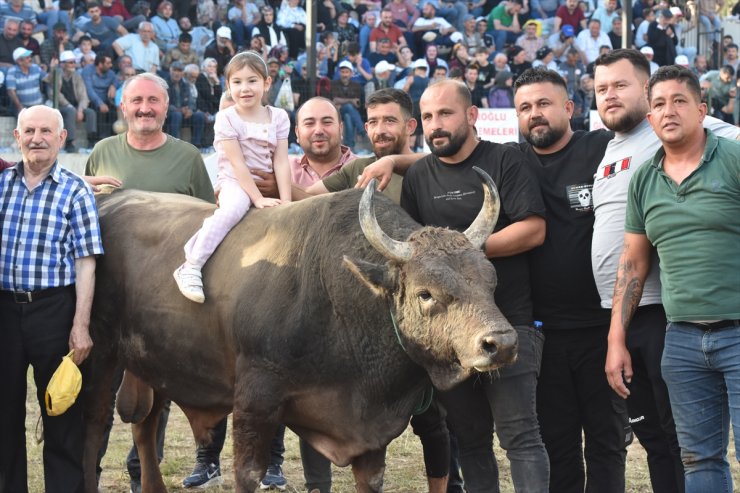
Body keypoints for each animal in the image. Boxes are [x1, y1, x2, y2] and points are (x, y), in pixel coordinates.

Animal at [84, 167, 516, 490]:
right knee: (96, 426)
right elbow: (248, 474)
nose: (501, 343)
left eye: (491, 279)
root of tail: (108, 200)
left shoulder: (371, 434)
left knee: (144, 426)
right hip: (100, 356)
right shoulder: (255, 399)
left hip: (156, 364)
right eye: (426, 293)